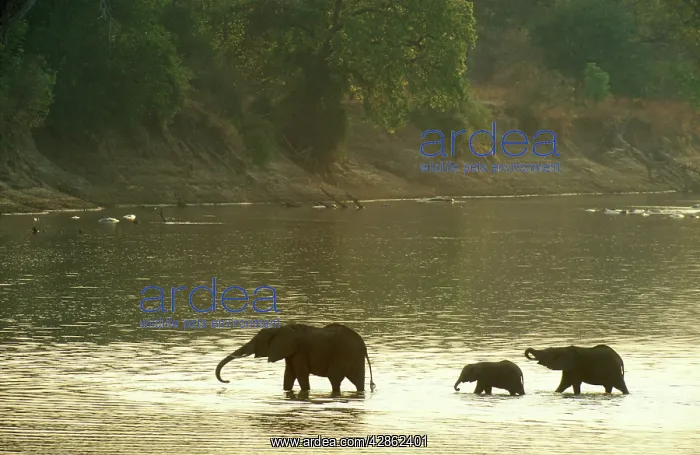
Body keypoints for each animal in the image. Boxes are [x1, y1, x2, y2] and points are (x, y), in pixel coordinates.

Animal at [215, 323, 376, 395]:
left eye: (257, 341)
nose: (228, 381)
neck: (280, 329)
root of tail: (364, 346)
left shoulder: (299, 352)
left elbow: (300, 374)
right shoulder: (290, 353)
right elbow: (289, 375)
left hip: (343, 356)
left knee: (334, 378)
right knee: (358, 381)